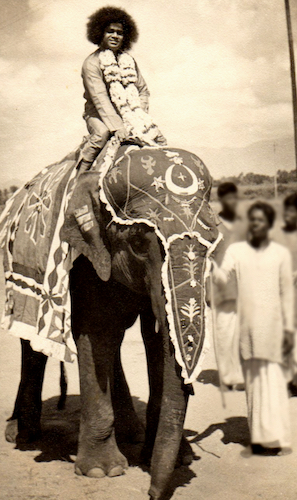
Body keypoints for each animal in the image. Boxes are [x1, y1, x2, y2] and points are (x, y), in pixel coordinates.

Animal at [1, 143, 219, 500]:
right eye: (140, 243)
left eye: (213, 241)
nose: (151, 494)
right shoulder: (85, 259)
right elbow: (96, 332)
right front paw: (103, 471)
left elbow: (156, 339)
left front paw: (173, 458)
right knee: (31, 343)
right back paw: (21, 434)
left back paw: (132, 432)